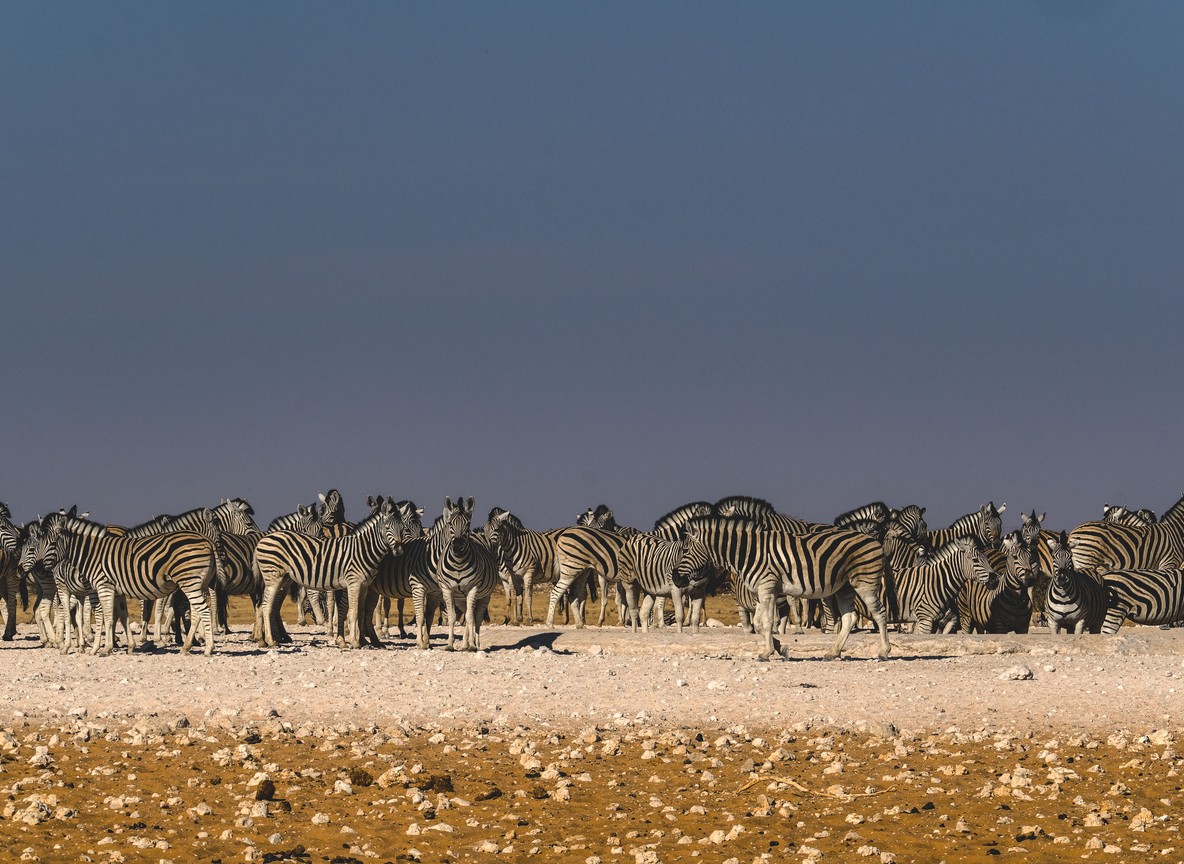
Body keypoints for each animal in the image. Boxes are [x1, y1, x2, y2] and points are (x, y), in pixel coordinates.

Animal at [39, 509, 218, 655]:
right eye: (40, 542)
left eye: (52, 543)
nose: (40, 569)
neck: (93, 553)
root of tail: (206, 541)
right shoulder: (117, 590)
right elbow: (122, 616)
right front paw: (127, 645)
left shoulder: (104, 586)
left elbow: (107, 616)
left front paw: (103, 648)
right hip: (197, 584)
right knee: (197, 612)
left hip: (191, 584)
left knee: (203, 610)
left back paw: (208, 648)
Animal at [254, 496, 416, 648]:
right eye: (387, 527)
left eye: (403, 529)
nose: (399, 550)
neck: (363, 549)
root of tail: (264, 538)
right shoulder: (353, 584)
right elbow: (353, 612)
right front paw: (354, 642)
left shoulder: (364, 586)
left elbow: (361, 612)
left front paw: (362, 641)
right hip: (273, 577)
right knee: (266, 606)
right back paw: (271, 641)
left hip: (284, 578)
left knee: (267, 606)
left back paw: (267, 639)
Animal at [678, 516, 891, 660]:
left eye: (686, 550)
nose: (676, 579)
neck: (748, 553)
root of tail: (876, 542)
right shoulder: (762, 593)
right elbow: (759, 624)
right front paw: (779, 649)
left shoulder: (766, 587)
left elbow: (766, 623)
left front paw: (767, 652)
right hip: (844, 588)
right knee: (849, 618)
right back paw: (834, 652)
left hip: (865, 583)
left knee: (880, 613)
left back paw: (884, 652)